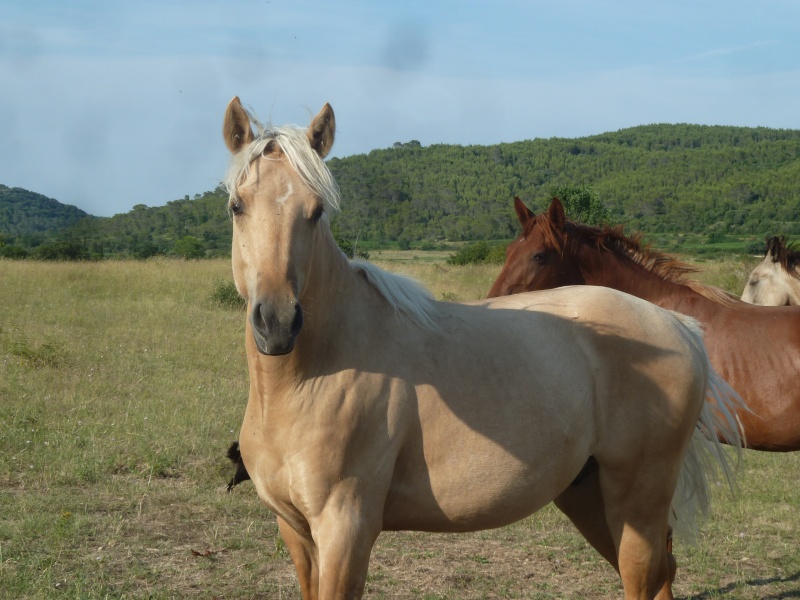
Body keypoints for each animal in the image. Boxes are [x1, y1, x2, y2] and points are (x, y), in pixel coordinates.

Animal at [220, 98, 744, 600]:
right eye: (236, 206)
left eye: (317, 211)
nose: (277, 322)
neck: (313, 378)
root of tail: (677, 325)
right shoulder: (296, 531)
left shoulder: (345, 531)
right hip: (592, 497)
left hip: (638, 501)